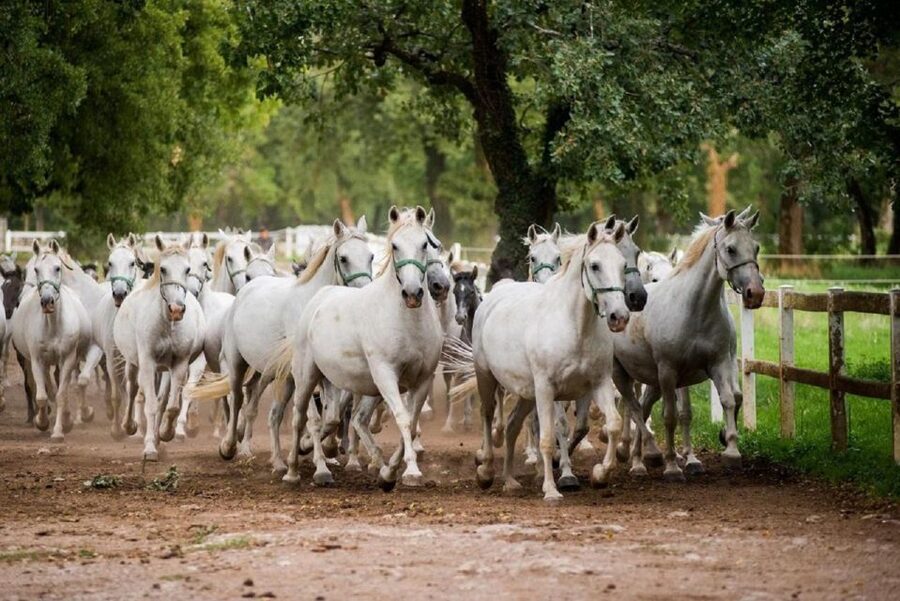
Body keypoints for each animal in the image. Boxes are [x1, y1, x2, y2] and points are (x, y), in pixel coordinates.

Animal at [11, 240, 91, 441]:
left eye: (57, 268)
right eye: (36, 269)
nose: (47, 301)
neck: (53, 325)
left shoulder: (68, 359)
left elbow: (62, 394)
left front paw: (59, 431)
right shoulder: (37, 360)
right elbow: (41, 395)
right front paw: (42, 422)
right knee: (44, 385)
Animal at [113, 236, 206, 460]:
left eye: (187, 269)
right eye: (162, 269)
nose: (177, 309)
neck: (167, 324)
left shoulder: (179, 363)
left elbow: (170, 406)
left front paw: (165, 433)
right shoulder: (147, 363)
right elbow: (151, 405)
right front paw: (149, 448)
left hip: (165, 370)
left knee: (163, 399)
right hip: (133, 363)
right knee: (132, 389)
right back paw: (129, 426)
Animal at [278, 206, 443, 490]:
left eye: (428, 244)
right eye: (395, 245)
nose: (413, 293)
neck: (408, 323)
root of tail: (319, 297)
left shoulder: (422, 380)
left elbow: (411, 424)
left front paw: (389, 474)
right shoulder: (386, 374)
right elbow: (401, 418)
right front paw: (411, 471)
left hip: (341, 382)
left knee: (347, 419)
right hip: (306, 375)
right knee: (302, 417)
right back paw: (296, 470)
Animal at [468, 220, 630, 501]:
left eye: (623, 264)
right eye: (594, 265)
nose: (619, 316)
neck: (575, 326)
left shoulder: (597, 384)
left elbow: (613, 424)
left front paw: (600, 474)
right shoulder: (547, 389)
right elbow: (547, 436)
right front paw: (552, 489)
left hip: (526, 392)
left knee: (512, 426)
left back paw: (510, 481)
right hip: (487, 377)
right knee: (488, 416)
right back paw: (486, 471)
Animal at [612, 209, 764, 481]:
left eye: (755, 247)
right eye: (731, 249)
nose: (755, 293)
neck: (695, 309)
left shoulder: (718, 364)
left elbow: (728, 400)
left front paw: (730, 450)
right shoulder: (669, 371)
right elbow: (671, 417)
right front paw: (673, 466)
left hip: (653, 381)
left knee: (643, 408)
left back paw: (643, 458)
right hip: (626, 374)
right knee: (634, 408)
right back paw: (636, 460)